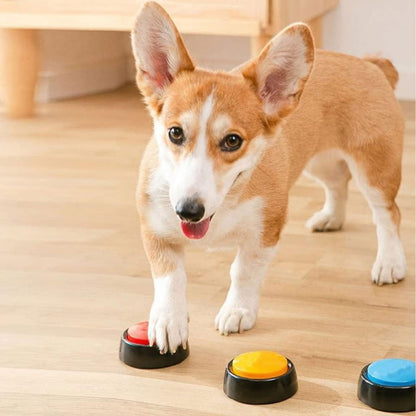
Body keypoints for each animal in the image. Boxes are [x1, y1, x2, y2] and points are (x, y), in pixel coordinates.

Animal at [131, 2, 406, 354]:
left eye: (232, 141)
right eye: (175, 133)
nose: (188, 211)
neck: (226, 201)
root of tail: (370, 64)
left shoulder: (264, 233)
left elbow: (243, 272)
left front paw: (237, 311)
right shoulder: (156, 231)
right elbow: (170, 277)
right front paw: (168, 321)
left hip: (373, 169)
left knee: (387, 214)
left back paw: (390, 262)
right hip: (316, 161)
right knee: (337, 184)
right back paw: (331, 218)